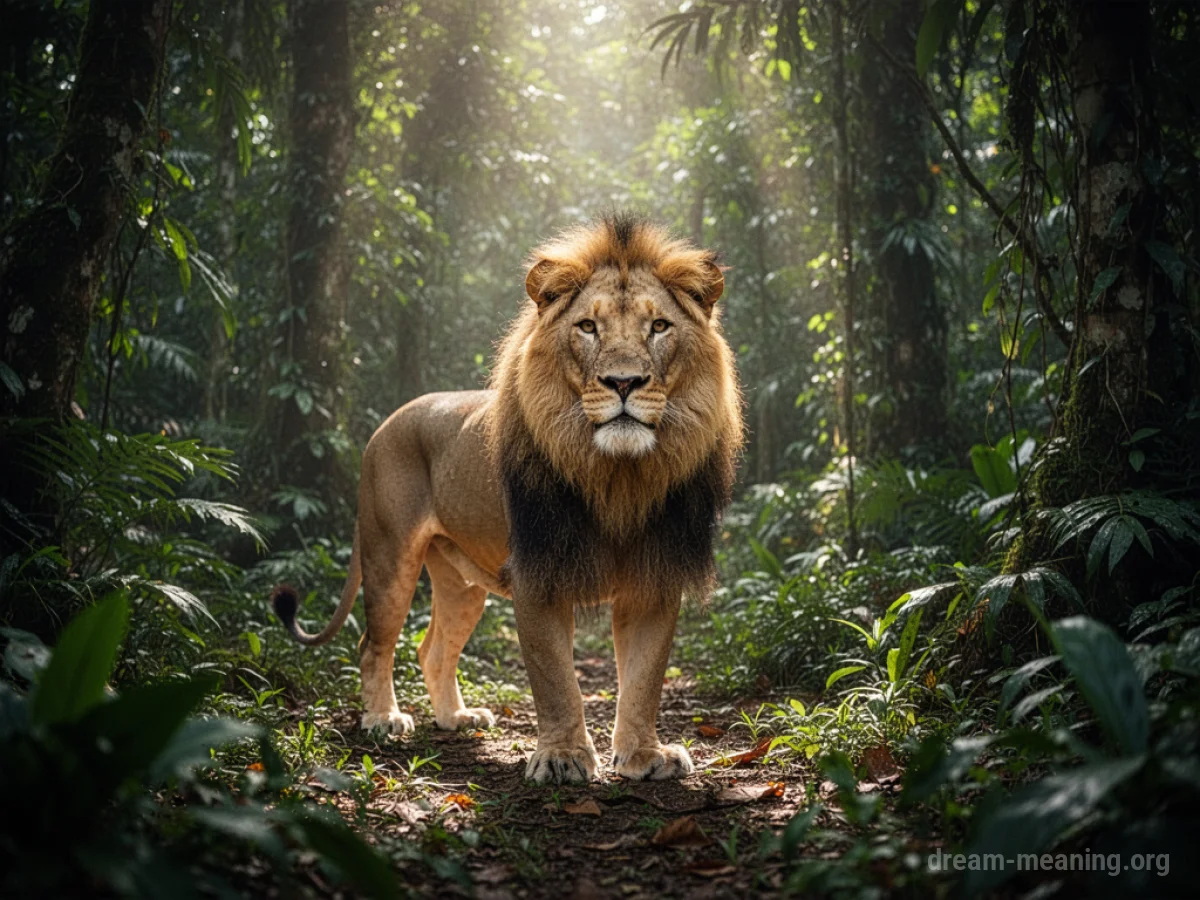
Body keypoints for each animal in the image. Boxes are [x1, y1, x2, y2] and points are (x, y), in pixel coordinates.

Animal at [271, 212, 743, 784]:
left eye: (659, 327)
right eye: (588, 327)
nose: (624, 382)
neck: (617, 476)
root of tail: (386, 422)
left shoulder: (654, 578)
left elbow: (644, 677)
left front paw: (644, 755)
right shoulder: (538, 574)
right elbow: (555, 677)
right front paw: (562, 757)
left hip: (460, 580)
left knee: (433, 649)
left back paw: (456, 717)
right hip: (389, 554)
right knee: (373, 644)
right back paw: (383, 719)